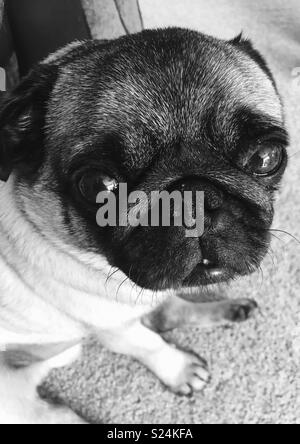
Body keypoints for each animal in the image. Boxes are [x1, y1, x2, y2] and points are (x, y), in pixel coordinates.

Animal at [0, 29, 288, 424]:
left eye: (267, 157)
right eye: (97, 185)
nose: (193, 198)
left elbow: (165, 313)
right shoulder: (113, 329)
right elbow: (148, 343)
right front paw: (178, 368)